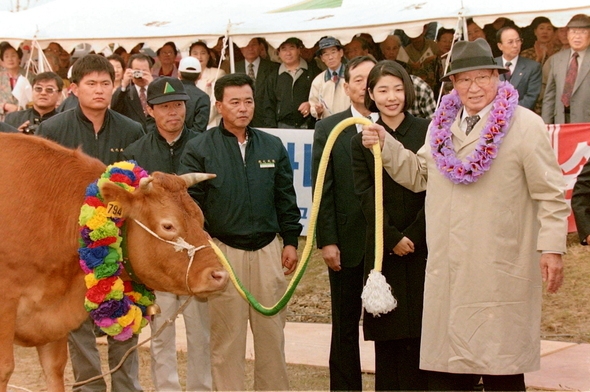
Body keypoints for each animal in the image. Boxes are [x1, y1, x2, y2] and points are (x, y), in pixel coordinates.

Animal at [0, 133, 229, 390]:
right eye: (168, 225)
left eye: (200, 217)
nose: (220, 275)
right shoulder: (5, 304)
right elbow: (5, 368)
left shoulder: (51, 318)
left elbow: (54, 368)